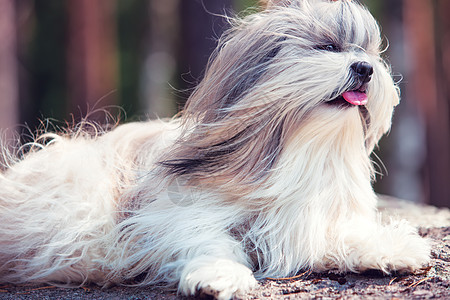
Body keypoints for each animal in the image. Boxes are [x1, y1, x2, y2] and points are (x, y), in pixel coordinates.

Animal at [0, 0, 428, 300]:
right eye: (328, 46)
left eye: (370, 54)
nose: (365, 69)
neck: (295, 149)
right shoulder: (173, 213)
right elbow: (207, 238)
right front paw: (218, 274)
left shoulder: (306, 219)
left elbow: (338, 234)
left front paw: (388, 248)